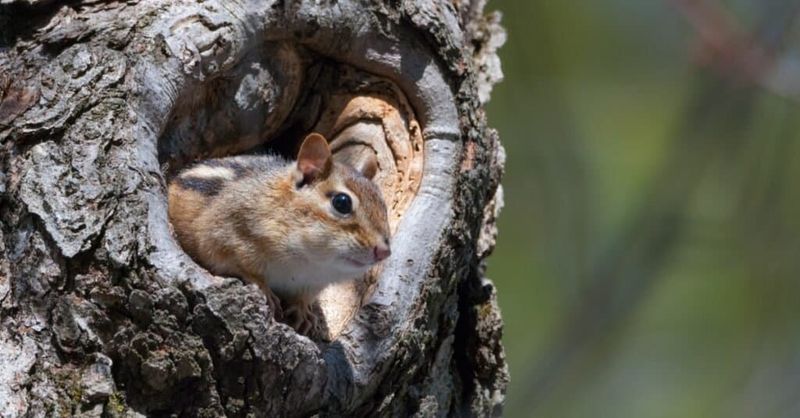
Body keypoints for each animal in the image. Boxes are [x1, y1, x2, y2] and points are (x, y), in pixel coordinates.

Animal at [168, 133, 391, 335]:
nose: (384, 251)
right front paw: (264, 289)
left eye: (383, 205)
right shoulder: (221, 233)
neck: (309, 262)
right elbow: (236, 264)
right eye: (342, 202)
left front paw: (303, 311)